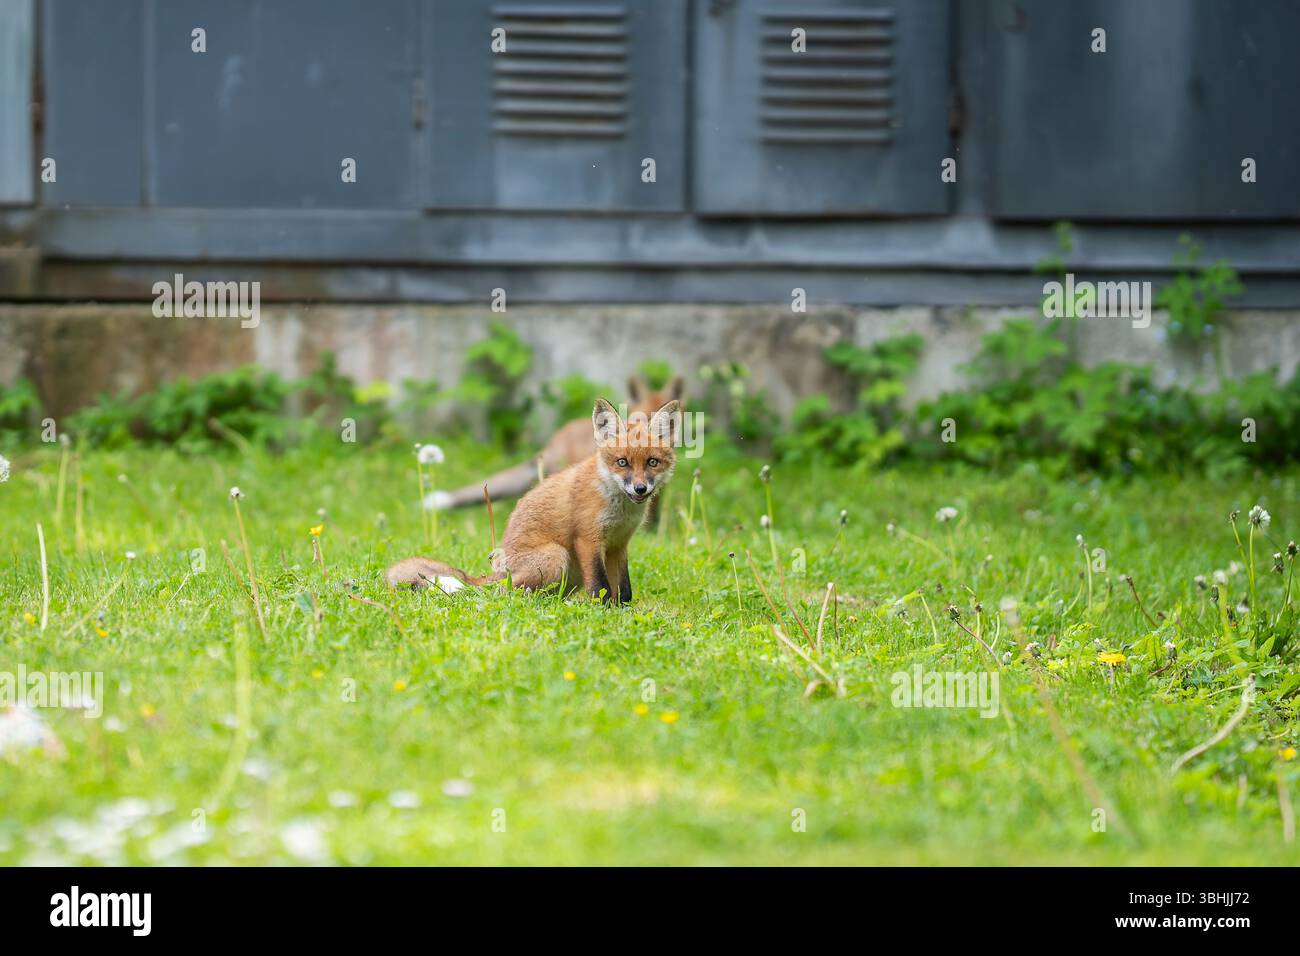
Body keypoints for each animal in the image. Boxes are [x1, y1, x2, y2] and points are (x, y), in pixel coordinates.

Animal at [386, 397, 680, 604]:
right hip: (557, 556)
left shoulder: (619, 544)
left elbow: (625, 590)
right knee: (504, 593)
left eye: (652, 462)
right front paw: (606, 612)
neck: (619, 508)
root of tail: (498, 569)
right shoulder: (588, 539)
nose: (640, 489)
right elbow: (600, 587)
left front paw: (623, 611)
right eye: (622, 462)